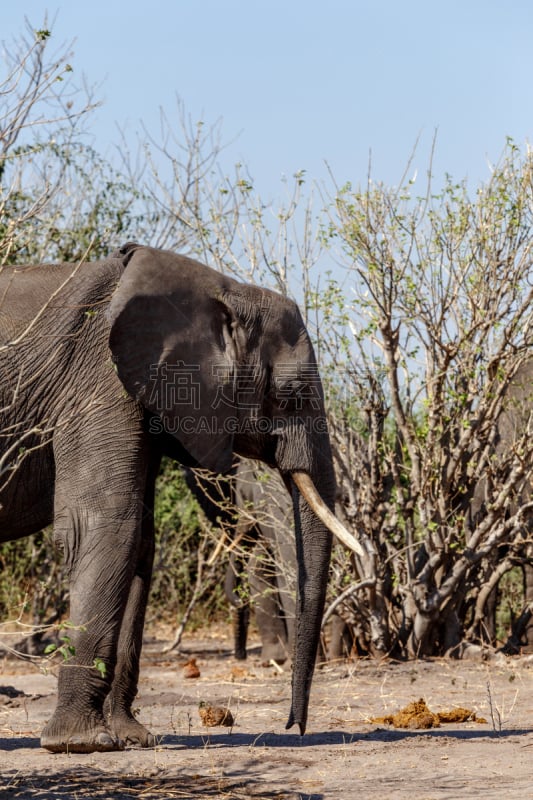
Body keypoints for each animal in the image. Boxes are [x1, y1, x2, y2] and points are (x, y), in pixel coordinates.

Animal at [0, 242, 362, 752]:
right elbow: (105, 527)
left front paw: (134, 738)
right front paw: (83, 743)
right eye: (290, 395)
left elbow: (139, 543)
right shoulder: (98, 383)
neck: (221, 290)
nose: (295, 725)